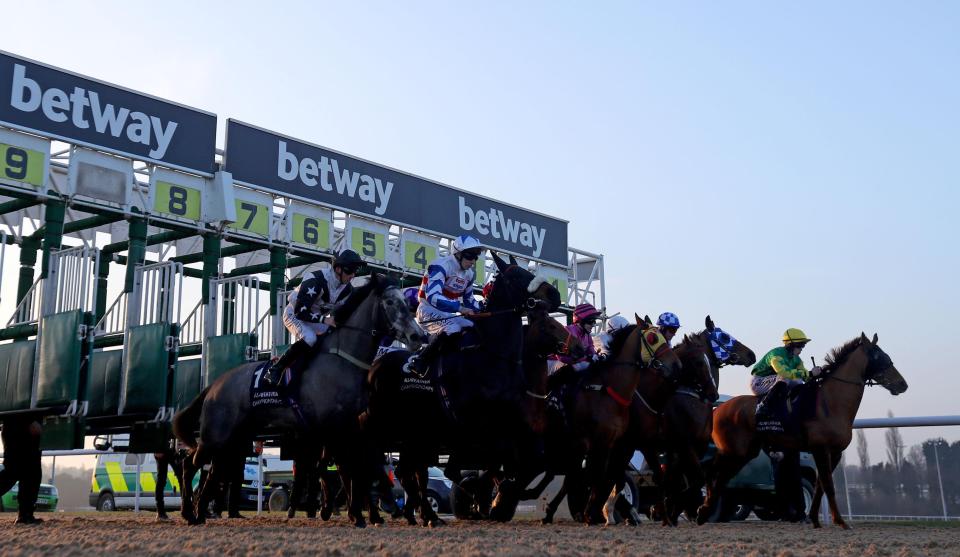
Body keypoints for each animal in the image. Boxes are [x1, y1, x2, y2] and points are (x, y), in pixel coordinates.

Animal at [173, 274, 428, 524]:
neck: (343, 360)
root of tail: (214, 386)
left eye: (407, 304)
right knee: (189, 464)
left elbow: (357, 466)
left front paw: (359, 512)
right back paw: (190, 513)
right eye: (390, 302)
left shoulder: (350, 427)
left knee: (212, 470)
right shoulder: (332, 428)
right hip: (216, 434)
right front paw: (354, 513)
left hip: (234, 440)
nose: (419, 336)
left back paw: (199, 512)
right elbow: (344, 467)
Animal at [362, 255, 564, 524]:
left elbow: (520, 461)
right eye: (517, 276)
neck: (492, 355)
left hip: (414, 433)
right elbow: (466, 468)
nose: (554, 293)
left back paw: (425, 515)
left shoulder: (508, 425)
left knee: (406, 472)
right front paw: (487, 498)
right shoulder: (471, 428)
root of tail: (374, 366)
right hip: (384, 426)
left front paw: (496, 498)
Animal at [696, 332, 908, 528]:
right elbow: (828, 486)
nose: (902, 384)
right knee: (713, 475)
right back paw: (702, 511)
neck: (830, 402)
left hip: (743, 452)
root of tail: (717, 410)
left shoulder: (834, 452)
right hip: (734, 451)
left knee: (716, 476)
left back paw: (703, 512)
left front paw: (813, 518)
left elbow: (820, 486)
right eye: (878, 355)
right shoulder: (821, 448)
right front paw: (840, 521)